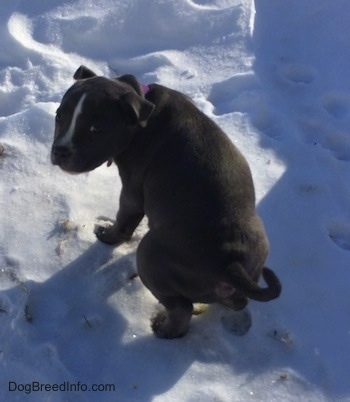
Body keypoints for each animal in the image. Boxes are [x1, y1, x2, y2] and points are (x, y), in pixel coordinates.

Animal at [51, 65, 282, 336]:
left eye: (96, 128)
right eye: (59, 116)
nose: (60, 151)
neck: (140, 118)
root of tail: (229, 262)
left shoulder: (132, 191)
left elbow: (123, 220)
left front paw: (107, 236)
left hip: (150, 256)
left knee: (181, 309)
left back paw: (163, 330)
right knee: (237, 301)